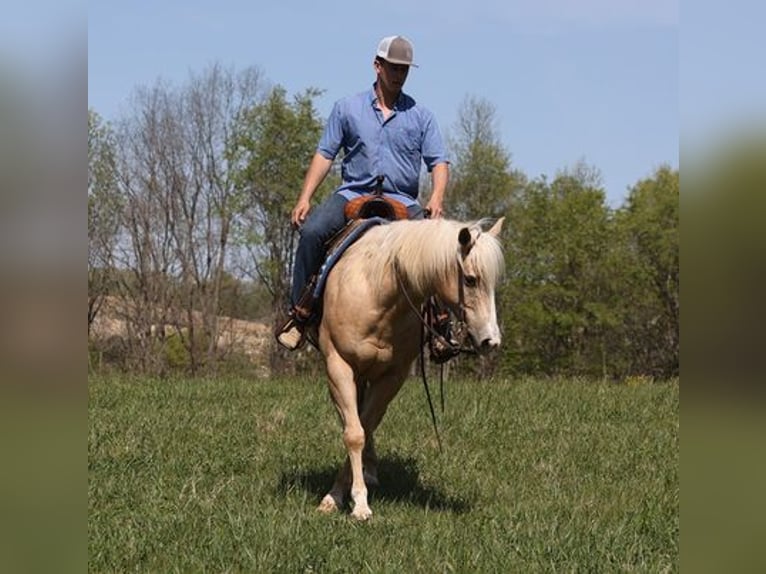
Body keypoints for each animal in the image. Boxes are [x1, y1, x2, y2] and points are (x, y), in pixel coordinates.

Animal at [312, 217, 504, 520]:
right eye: (470, 279)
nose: (491, 341)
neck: (379, 292)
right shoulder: (338, 365)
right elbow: (353, 433)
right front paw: (343, 501)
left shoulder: (392, 377)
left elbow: (364, 427)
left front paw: (354, 493)